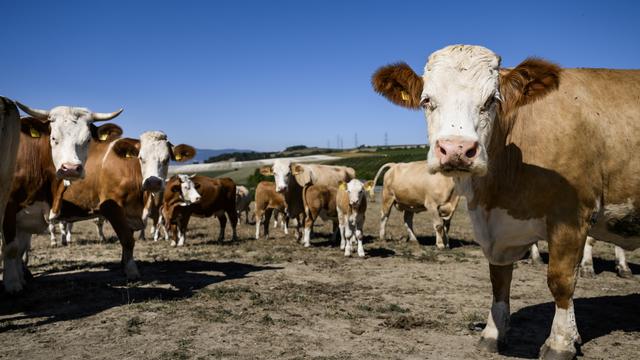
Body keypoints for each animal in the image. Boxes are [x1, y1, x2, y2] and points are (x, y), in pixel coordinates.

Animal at [2, 102, 124, 294]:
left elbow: (20, 249)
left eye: (87, 140)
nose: (70, 168)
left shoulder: (25, 217)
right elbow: (11, 248)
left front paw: (21, 278)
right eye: (53, 138)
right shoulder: (9, 207)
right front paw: (13, 284)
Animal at [55, 131, 195, 282]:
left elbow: (128, 238)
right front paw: (131, 270)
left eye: (167, 159)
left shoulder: (130, 213)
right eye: (141, 158)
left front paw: (124, 264)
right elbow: (127, 240)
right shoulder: (111, 207)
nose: (153, 182)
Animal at [370, 43, 640, 358]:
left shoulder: (572, 216)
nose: (456, 150)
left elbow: (561, 280)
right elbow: (499, 279)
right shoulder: (495, 227)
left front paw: (560, 342)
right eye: (427, 100)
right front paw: (493, 333)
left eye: (492, 100)